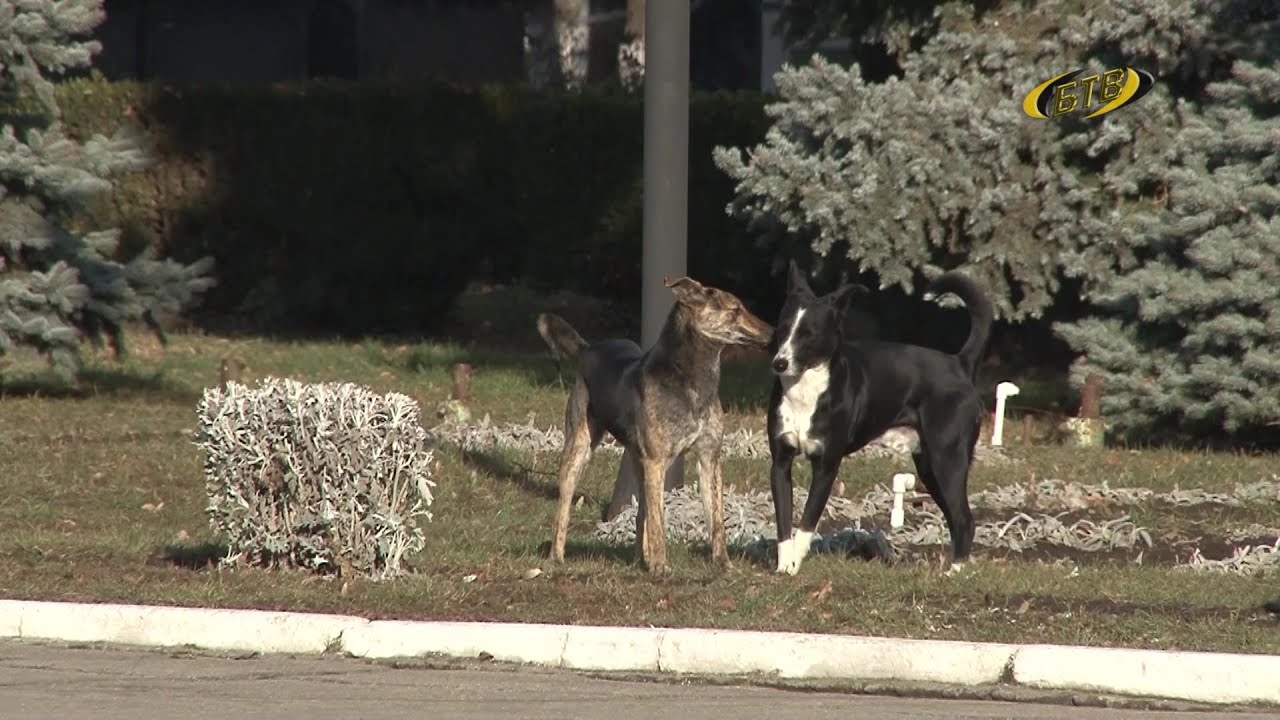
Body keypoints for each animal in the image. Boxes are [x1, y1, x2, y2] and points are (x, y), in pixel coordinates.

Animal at [762, 260, 993, 573]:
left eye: (808, 333)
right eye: (783, 329)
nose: (779, 363)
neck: (805, 391)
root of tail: (959, 363)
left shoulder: (826, 466)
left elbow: (807, 521)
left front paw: (796, 561)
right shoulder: (780, 463)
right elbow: (784, 522)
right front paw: (784, 566)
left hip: (948, 458)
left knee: (965, 519)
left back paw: (955, 572)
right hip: (930, 466)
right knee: (956, 518)